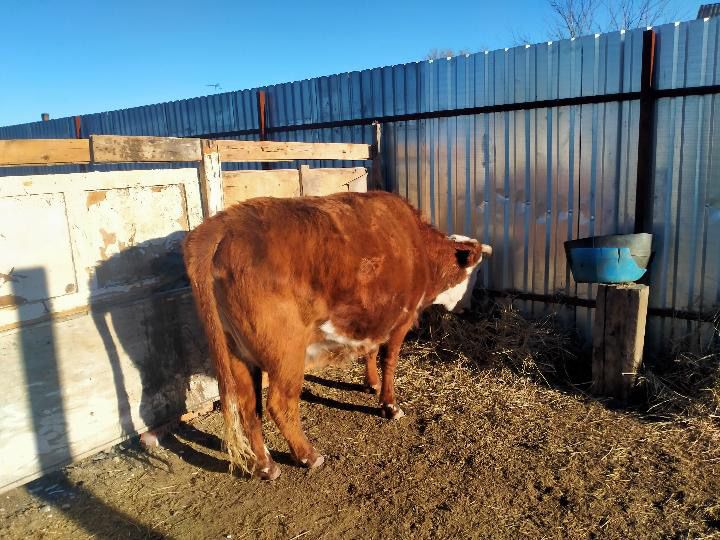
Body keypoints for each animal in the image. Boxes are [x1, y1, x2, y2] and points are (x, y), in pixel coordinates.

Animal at [183, 191, 492, 480]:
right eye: (475, 274)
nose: (471, 307)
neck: (418, 248)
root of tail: (225, 222)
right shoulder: (401, 320)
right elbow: (389, 361)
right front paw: (389, 405)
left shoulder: (375, 317)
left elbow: (370, 350)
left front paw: (371, 384)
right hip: (286, 354)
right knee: (280, 404)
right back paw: (308, 456)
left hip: (237, 353)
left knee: (249, 408)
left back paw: (265, 466)